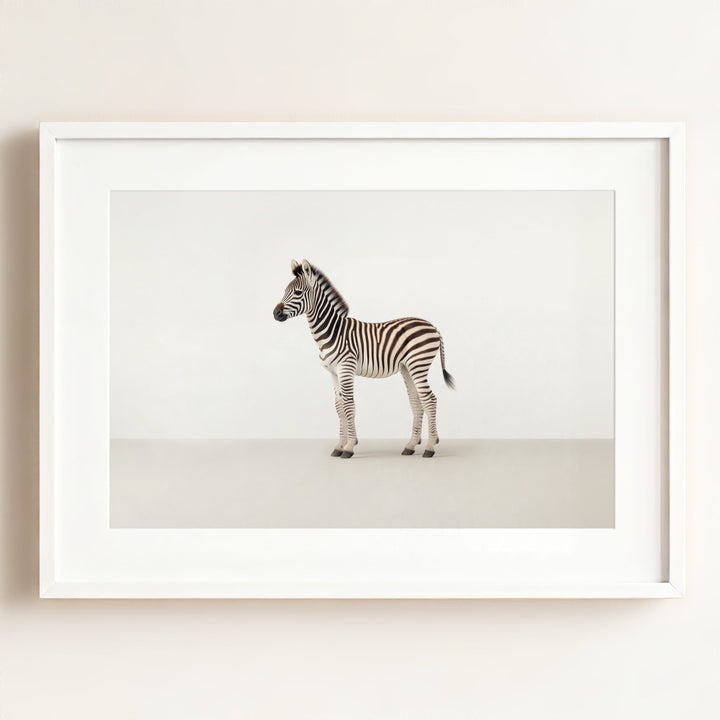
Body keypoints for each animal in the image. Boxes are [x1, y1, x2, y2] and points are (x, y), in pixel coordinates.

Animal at [273, 259, 455, 459]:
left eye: (297, 292)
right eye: (284, 291)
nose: (275, 313)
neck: (331, 332)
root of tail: (433, 326)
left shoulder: (346, 368)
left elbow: (349, 405)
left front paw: (349, 447)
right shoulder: (333, 373)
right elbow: (338, 407)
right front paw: (339, 446)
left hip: (418, 363)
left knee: (429, 400)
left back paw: (430, 447)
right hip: (408, 367)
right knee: (416, 401)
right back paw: (411, 445)